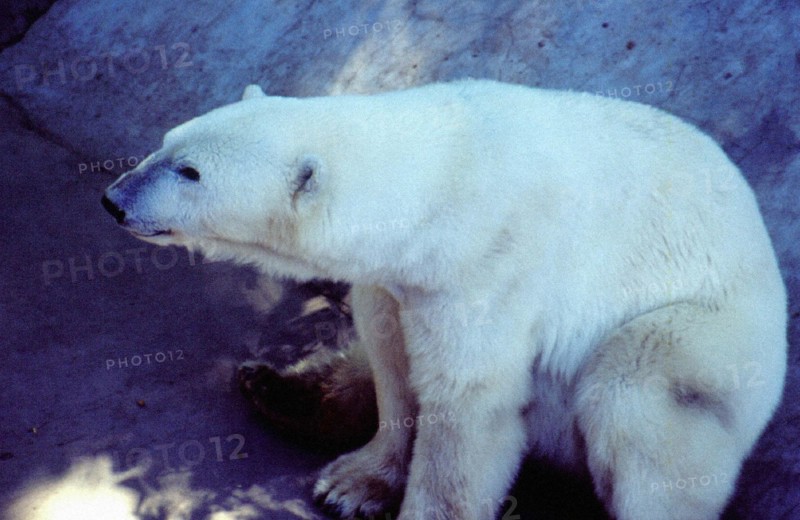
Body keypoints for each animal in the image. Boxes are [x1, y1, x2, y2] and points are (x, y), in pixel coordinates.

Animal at [102, 80, 787, 520]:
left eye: (190, 172)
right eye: (166, 141)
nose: (114, 199)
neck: (443, 176)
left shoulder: (488, 270)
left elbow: (468, 404)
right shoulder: (398, 280)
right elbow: (393, 363)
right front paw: (352, 485)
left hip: (705, 338)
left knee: (641, 397)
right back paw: (274, 386)